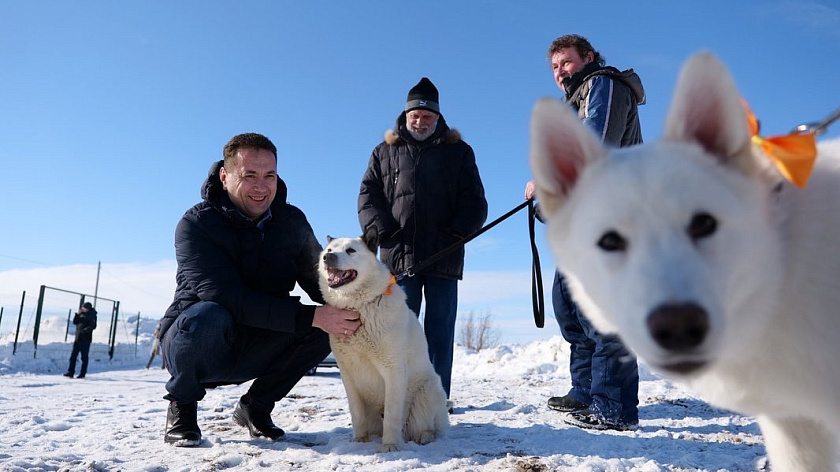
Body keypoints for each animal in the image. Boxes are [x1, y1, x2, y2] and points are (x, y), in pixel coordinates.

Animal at [316, 227, 450, 452]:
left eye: (350, 250)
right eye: (329, 250)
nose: (328, 258)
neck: (359, 308)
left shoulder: (393, 370)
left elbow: (392, 416)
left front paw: (390, 446)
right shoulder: (348, 375)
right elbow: (356, 413)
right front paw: (360, 441)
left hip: (428, 392)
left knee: (429, 427)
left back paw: (424, 435)